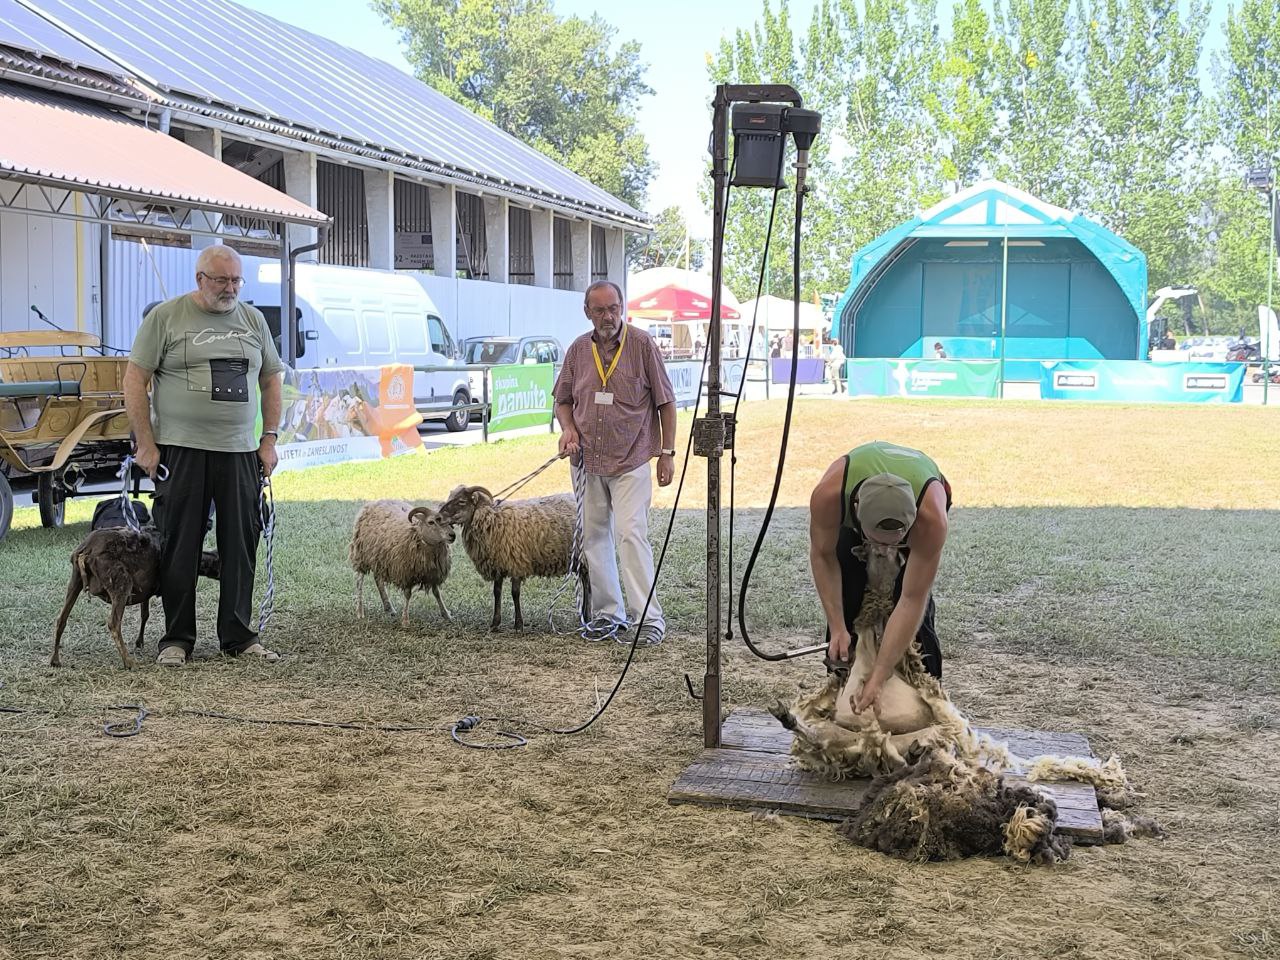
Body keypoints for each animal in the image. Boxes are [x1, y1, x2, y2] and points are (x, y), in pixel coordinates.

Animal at [52, 527, 221, 670]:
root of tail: (86, 550)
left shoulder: (145, 590)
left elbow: (144, 614)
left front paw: (139, 642)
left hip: (75, 580)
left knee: (61, 619)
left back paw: (55, 660)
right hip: (121, 581)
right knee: (113, 623)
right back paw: (129, 662)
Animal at [350, 499, 455, 627]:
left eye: (450, 523)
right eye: (431, 522)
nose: (452, 535)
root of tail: (374, 502)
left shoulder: (433, 573)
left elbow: (437, 593)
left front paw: (446, 614)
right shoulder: (406, 573)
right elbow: (408, 594)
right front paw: (405, 620)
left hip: (380, 558)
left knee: (378, 581)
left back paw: (389, 608)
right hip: (361, 555)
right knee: (359, 581)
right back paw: (360, 611)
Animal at [440, 483, 588, 634]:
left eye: (461, 501)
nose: (439, 517)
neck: (492, 519)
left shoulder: (516, 563)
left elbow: (515, 593)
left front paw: (518, 625)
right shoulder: (497, 565)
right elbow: (497, 592)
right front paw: (495, 624)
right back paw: (585, 617)